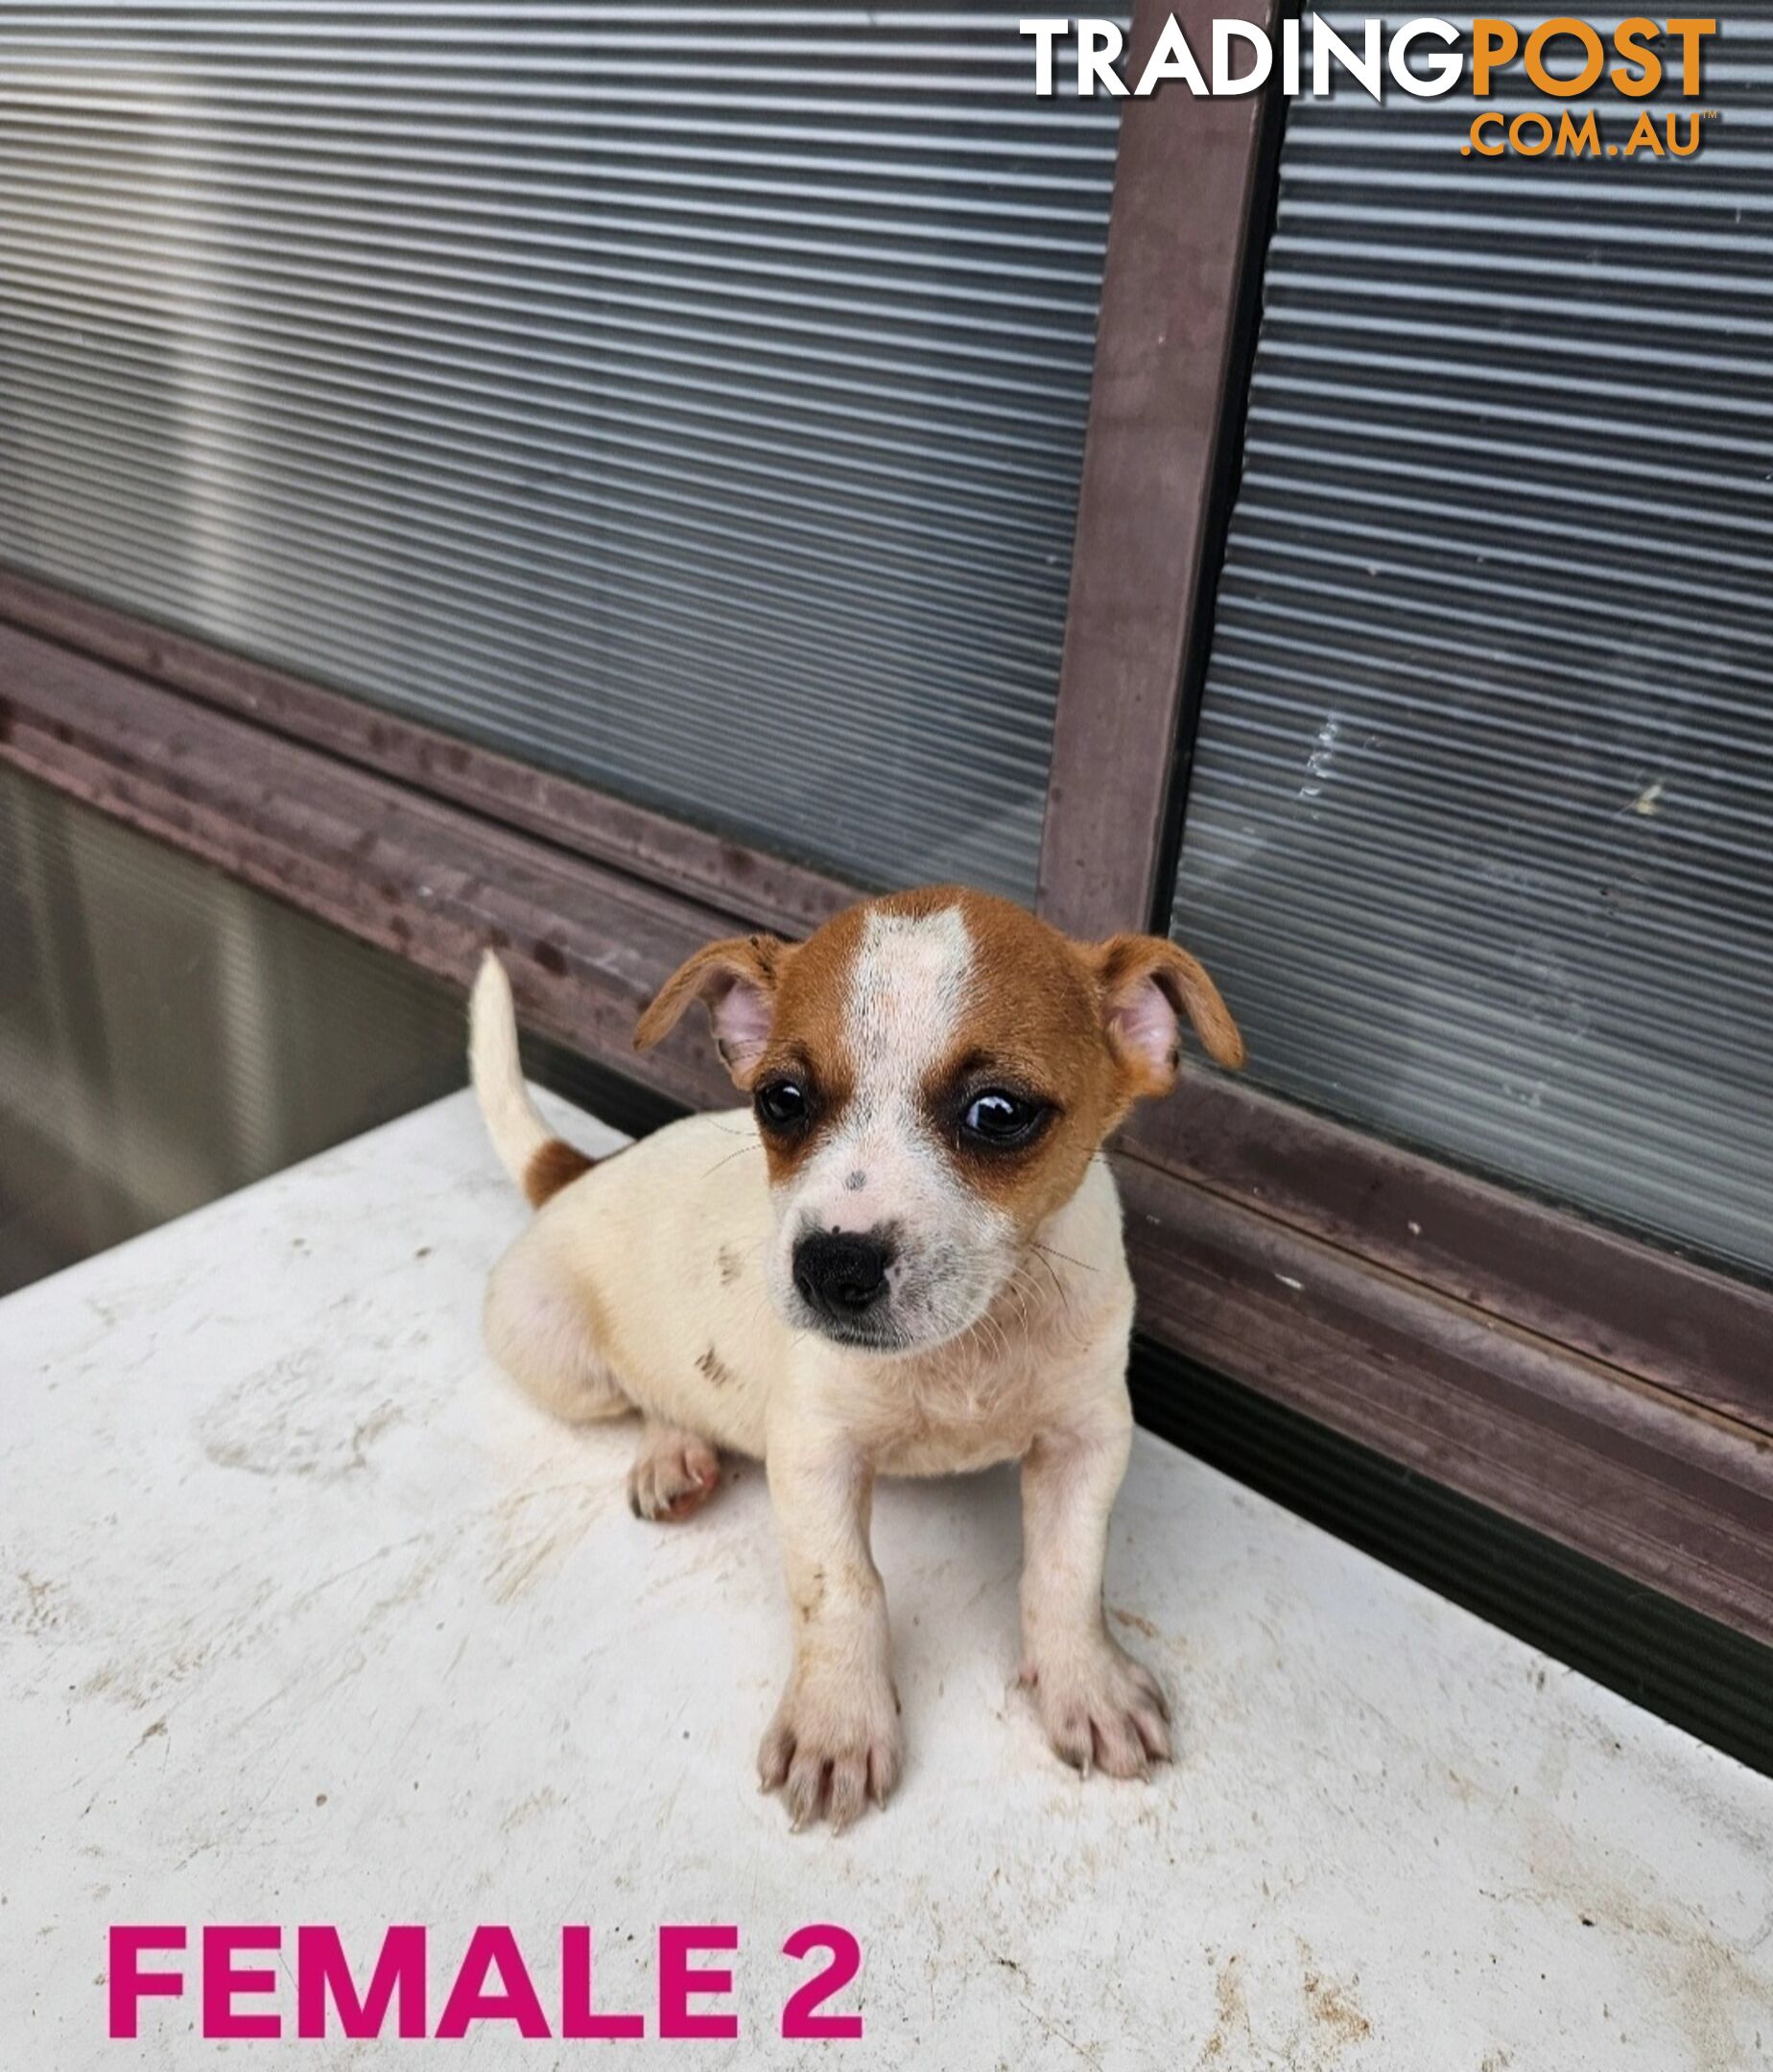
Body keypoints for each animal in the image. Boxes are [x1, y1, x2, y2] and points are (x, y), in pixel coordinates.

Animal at [470, 886, 1242, 1831]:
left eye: (997, 1112)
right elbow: (841, 1587)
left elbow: (1067, 1570)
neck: (967, 1344)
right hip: (560, 1357)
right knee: (645, 1392)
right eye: (782, 1100)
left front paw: (1084, 1684)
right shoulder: (815, 1452)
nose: (831, 1266)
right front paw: (838, 1723)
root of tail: (583, 1170)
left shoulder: (1087, 1439)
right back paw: (672, 1452)